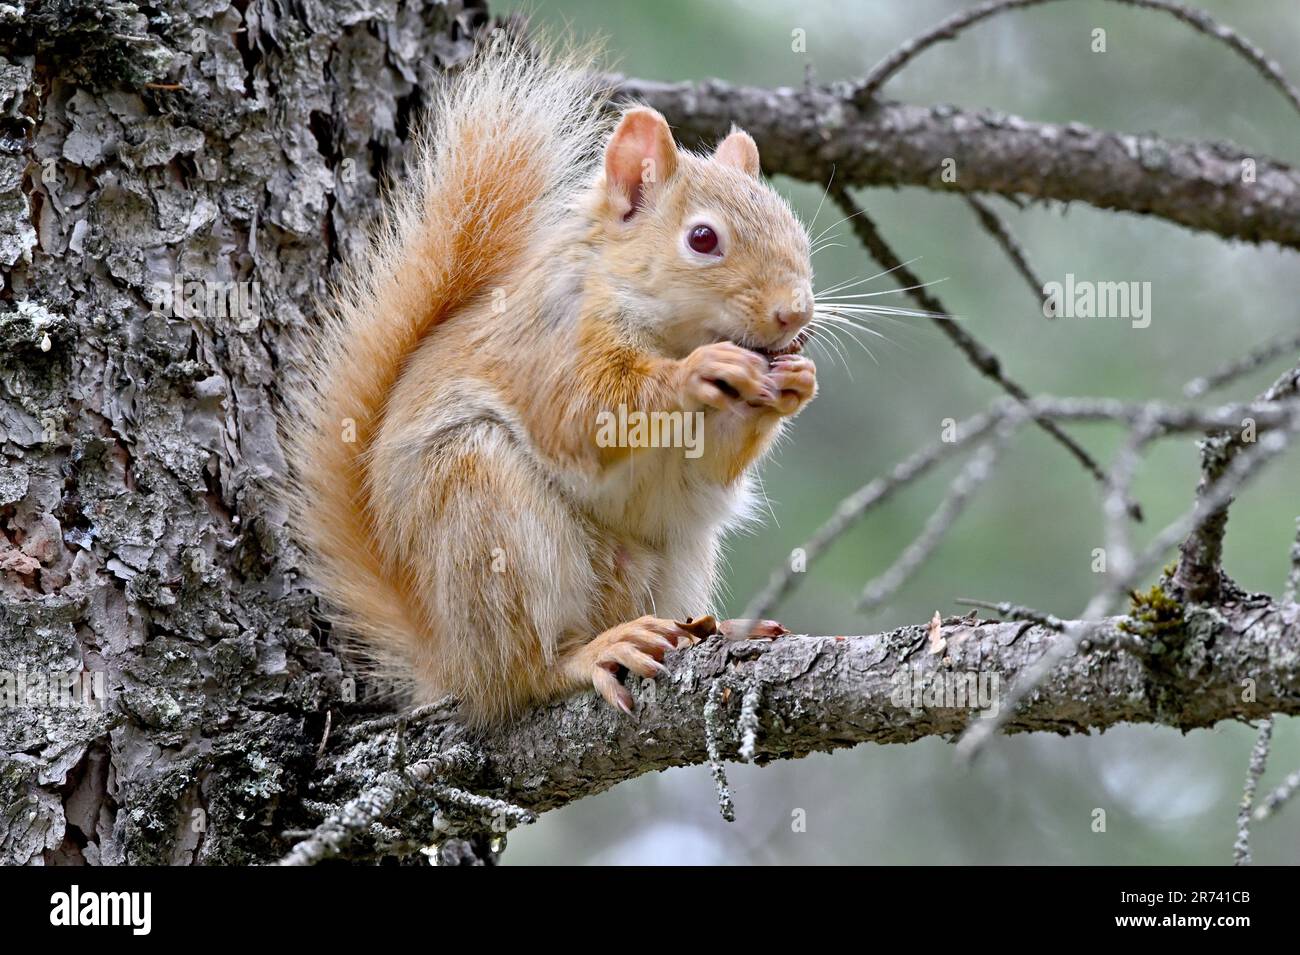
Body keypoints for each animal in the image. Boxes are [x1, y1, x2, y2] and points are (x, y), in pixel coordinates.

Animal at [288, 37, 816, 722]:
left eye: (794, 226)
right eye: (703, 239)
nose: (795, 314)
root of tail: (447, 660)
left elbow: (709, 465)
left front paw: (793, 382)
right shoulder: (547, 348)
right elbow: (585, 417)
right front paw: (697, 373)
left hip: (672, 556)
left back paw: (706, 628)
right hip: (485, 514)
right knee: (521, 672)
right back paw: (587, 654)